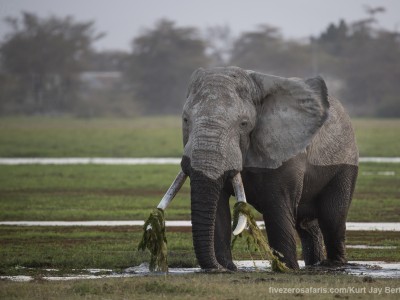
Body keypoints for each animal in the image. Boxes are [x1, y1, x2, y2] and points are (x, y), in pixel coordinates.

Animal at [155, 66, 356, 272]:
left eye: (244, 124)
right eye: (186, 120)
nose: (217, 267)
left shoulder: (285, 150)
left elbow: (277, 207)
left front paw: (287, 269)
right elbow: (219, 208)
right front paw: (226, 268)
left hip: (344, 165)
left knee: (332, 218)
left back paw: (333, 265)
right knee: (307, 224)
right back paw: (315, 264)